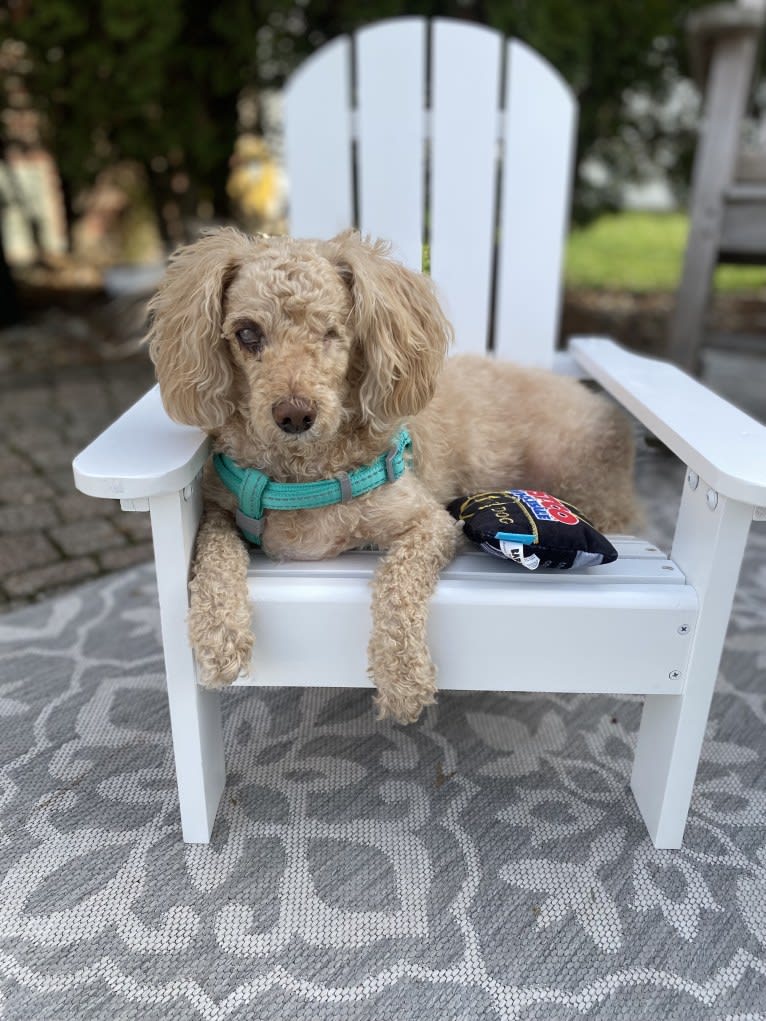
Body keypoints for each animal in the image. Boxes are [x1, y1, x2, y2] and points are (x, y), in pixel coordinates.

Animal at [147, 229, 637, 726]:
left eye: (331, 331)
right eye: (247, 334)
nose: (294, 414)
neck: (301, 476)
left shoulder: (431, 523)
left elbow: (398, 583)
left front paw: (403, 680)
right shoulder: (220, 509)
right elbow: (214, 552)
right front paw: (217, 634)